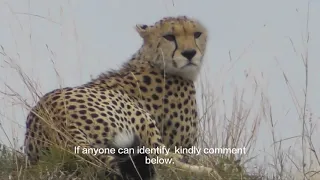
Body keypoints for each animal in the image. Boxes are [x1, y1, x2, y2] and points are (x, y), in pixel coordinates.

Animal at [23, 15, 219, 180]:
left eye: (197, 34)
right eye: (169, 36)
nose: (189, 53)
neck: (152, 61)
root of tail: (56, 120)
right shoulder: (180, 146)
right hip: (137, 115)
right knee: (159, 160)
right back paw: (207, 171)